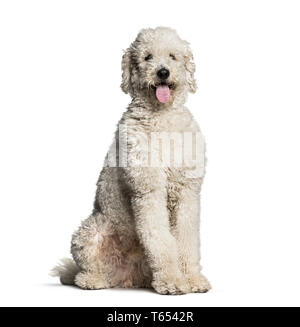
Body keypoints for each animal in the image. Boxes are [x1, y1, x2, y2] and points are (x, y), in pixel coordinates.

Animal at [52, 26, 211, 296]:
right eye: (147, 57)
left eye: (173, 56)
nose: (162, 72)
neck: (162, 117)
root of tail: (126, 277)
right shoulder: (149, 191)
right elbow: (160, 239)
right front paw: (172, 280)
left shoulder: (187, 192)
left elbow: (187, 239)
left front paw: (192, 279)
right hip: (90, 231)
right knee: (82, 272)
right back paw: (93, 280)